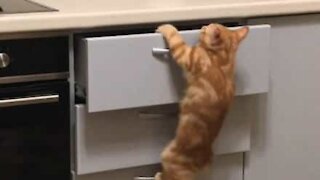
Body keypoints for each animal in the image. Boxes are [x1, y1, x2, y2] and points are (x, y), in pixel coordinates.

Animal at [154, 23, 249, 180]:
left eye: (206, 29)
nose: (203, 26)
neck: (222, 60)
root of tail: (204, 158)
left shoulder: (188, 55)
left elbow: (175, 37)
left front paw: (167, 27)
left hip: (168, 157)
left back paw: (157, 175)